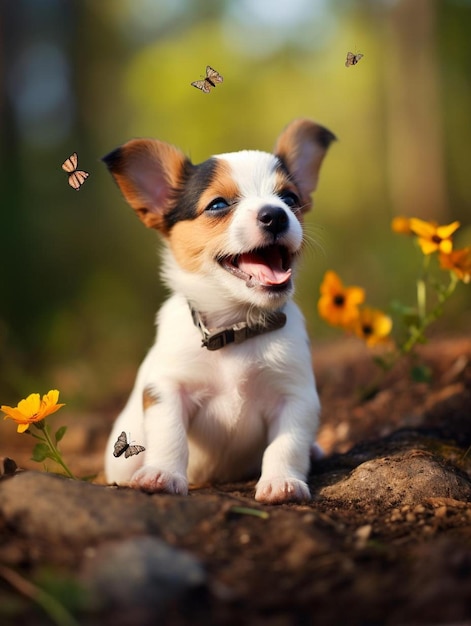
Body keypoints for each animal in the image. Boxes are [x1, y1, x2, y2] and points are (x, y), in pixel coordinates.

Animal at [103, 119, 336, 504]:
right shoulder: (167, 389)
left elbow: (285, 445)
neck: (237, 325)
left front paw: (282, 482)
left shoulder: (295, 396)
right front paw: (163, 474)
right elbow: (170, 436)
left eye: (289, 199)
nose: (276, 215)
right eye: (218, 204)